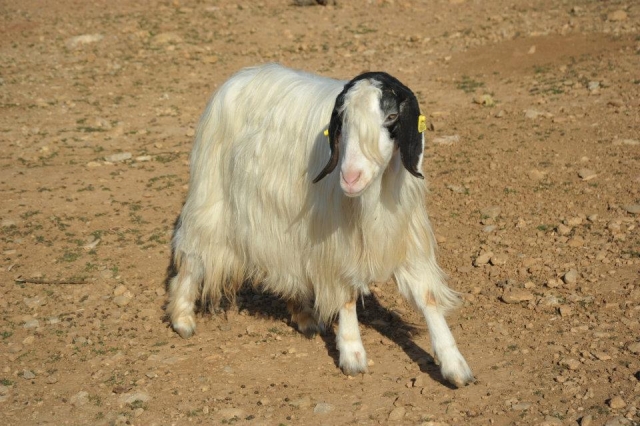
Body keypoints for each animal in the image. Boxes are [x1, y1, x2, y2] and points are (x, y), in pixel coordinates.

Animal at [167, 63, 474, 387]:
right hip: (212, 196)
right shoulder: (335, 241)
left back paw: (304, 317)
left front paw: (454, 364)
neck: (375, 195)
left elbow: (426, 295)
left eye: (392, 116)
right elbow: (346, 295)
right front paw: (352, 354)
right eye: (343, 120)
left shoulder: (407, 235)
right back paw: (182, 317)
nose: (349, 178)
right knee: (193, 254)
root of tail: (239, 76)